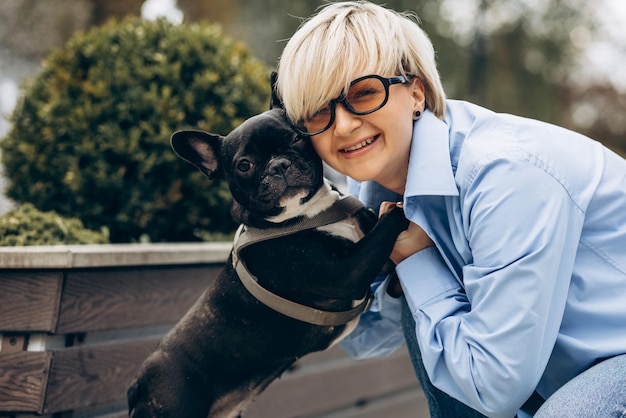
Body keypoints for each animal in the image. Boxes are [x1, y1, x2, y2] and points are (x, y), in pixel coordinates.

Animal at [129, 83, 408, 416]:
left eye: (297, 137)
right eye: (244, 165)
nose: (279, 164)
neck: (306, 214)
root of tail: (138, 385)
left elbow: (376, 228)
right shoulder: (344, 273)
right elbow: (388, 225)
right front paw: (406, 208)